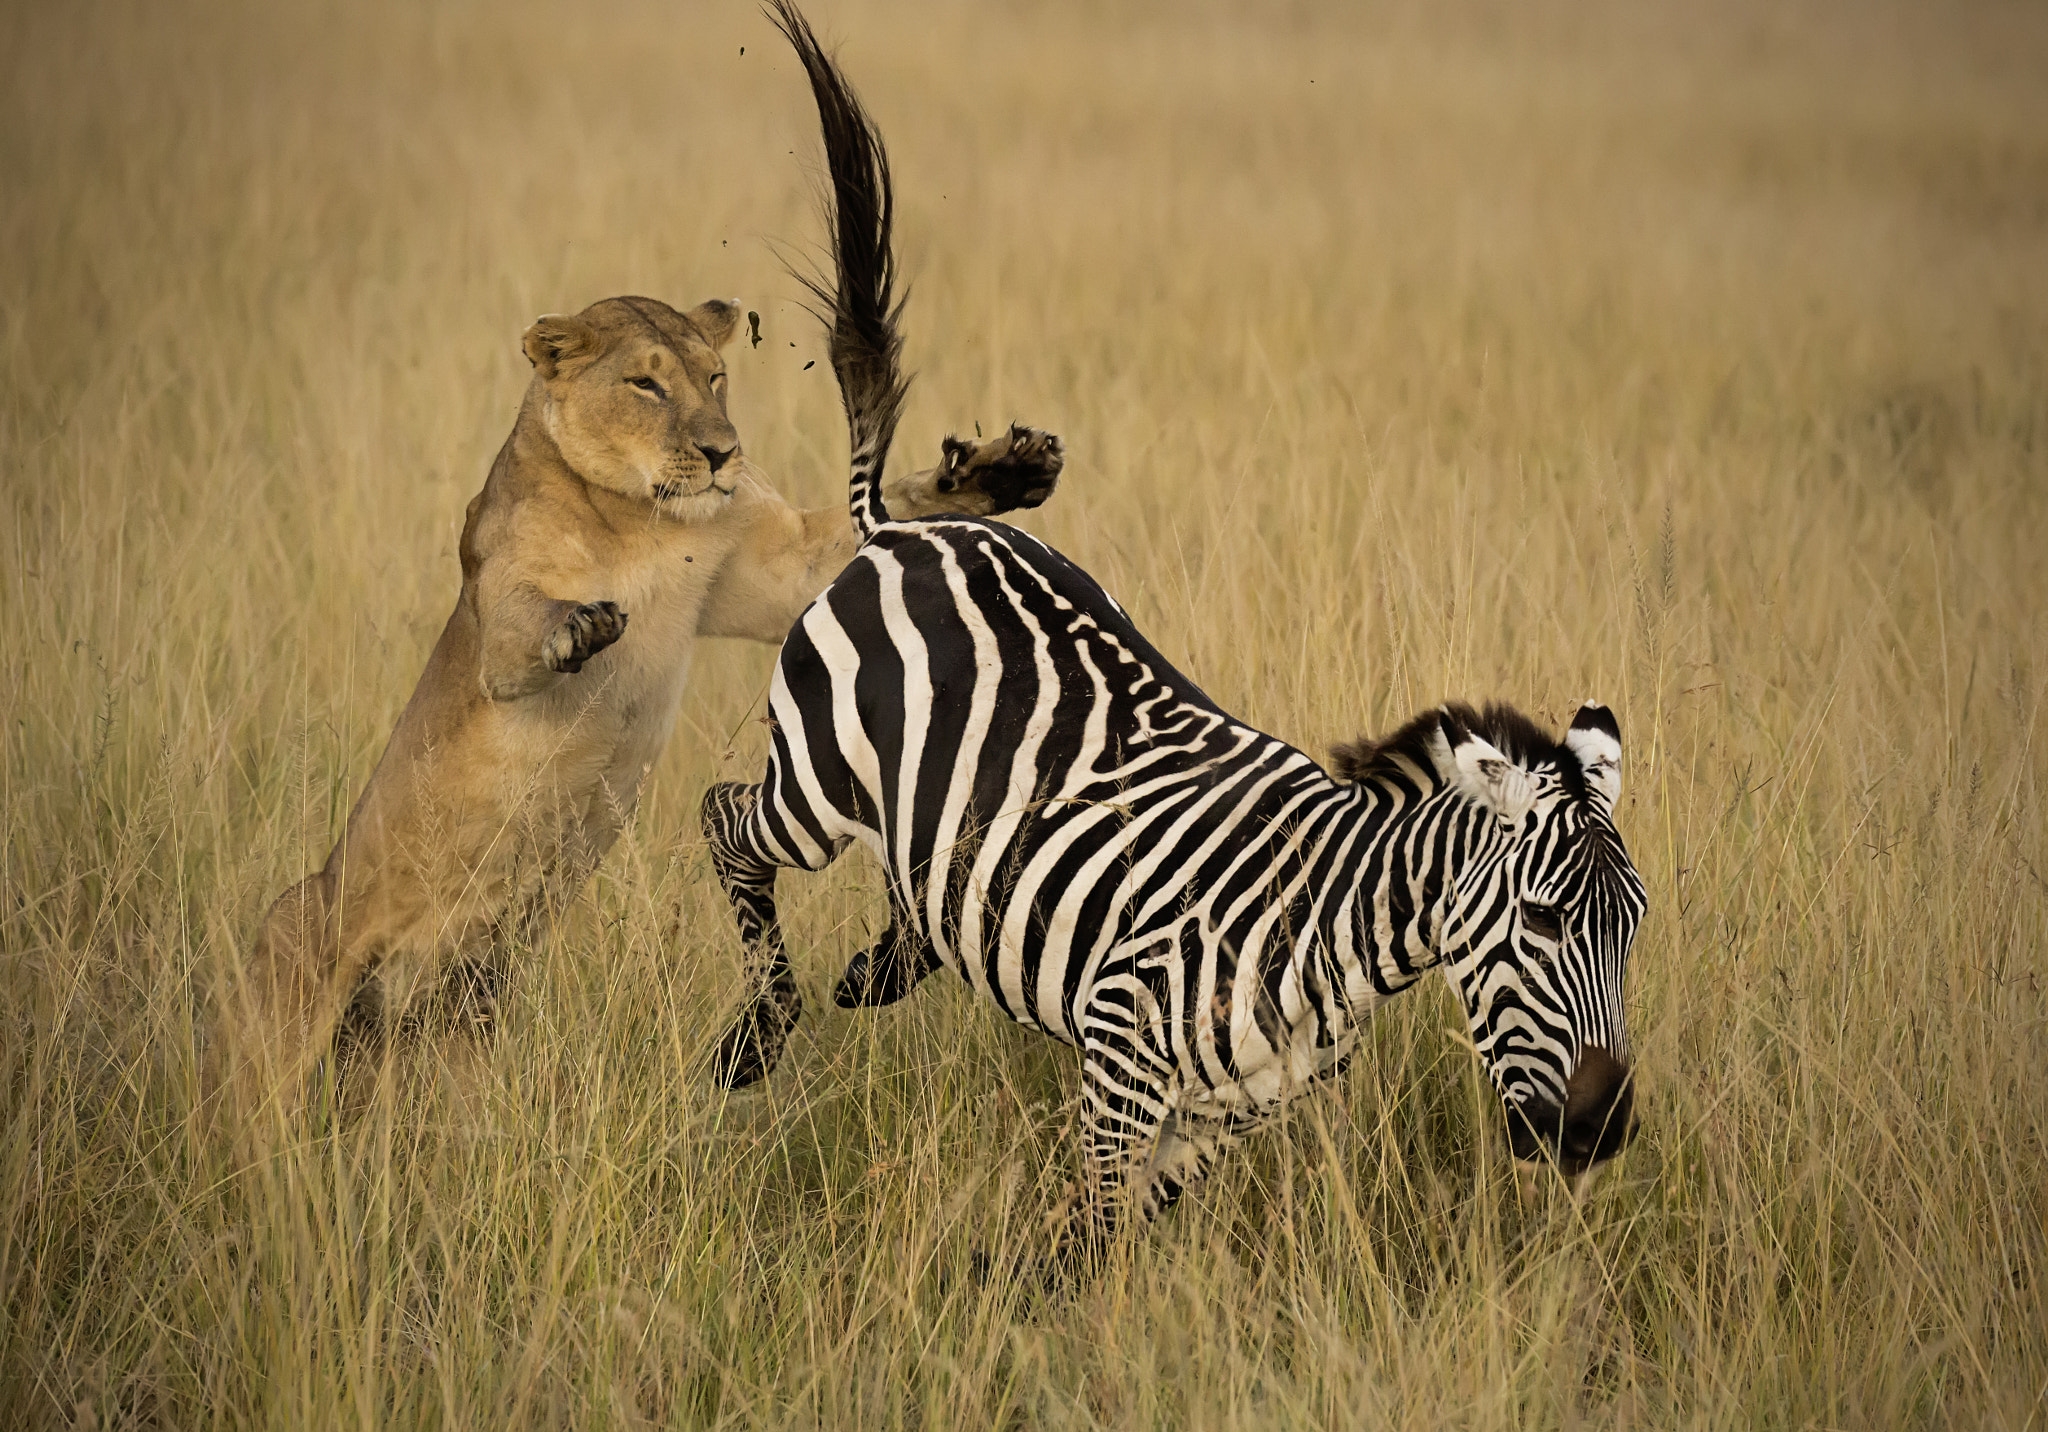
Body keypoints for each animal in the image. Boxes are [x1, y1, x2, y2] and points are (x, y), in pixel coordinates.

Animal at [708, 2, 1646, 1278]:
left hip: (924, 820)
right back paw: (756, 1036)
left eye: (1631, 932)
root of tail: (897, 529)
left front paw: (1016, 1294)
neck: (1333, 928)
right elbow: (1098, 1225)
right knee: (727, 824)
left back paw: (873, 968)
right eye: (1544, 923)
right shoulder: (1121, 1048)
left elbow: (1095, 1236)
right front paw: (1022, 1317)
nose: (1599, 1134)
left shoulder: (1224, 1115)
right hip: (816, 779)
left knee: (915, 889)